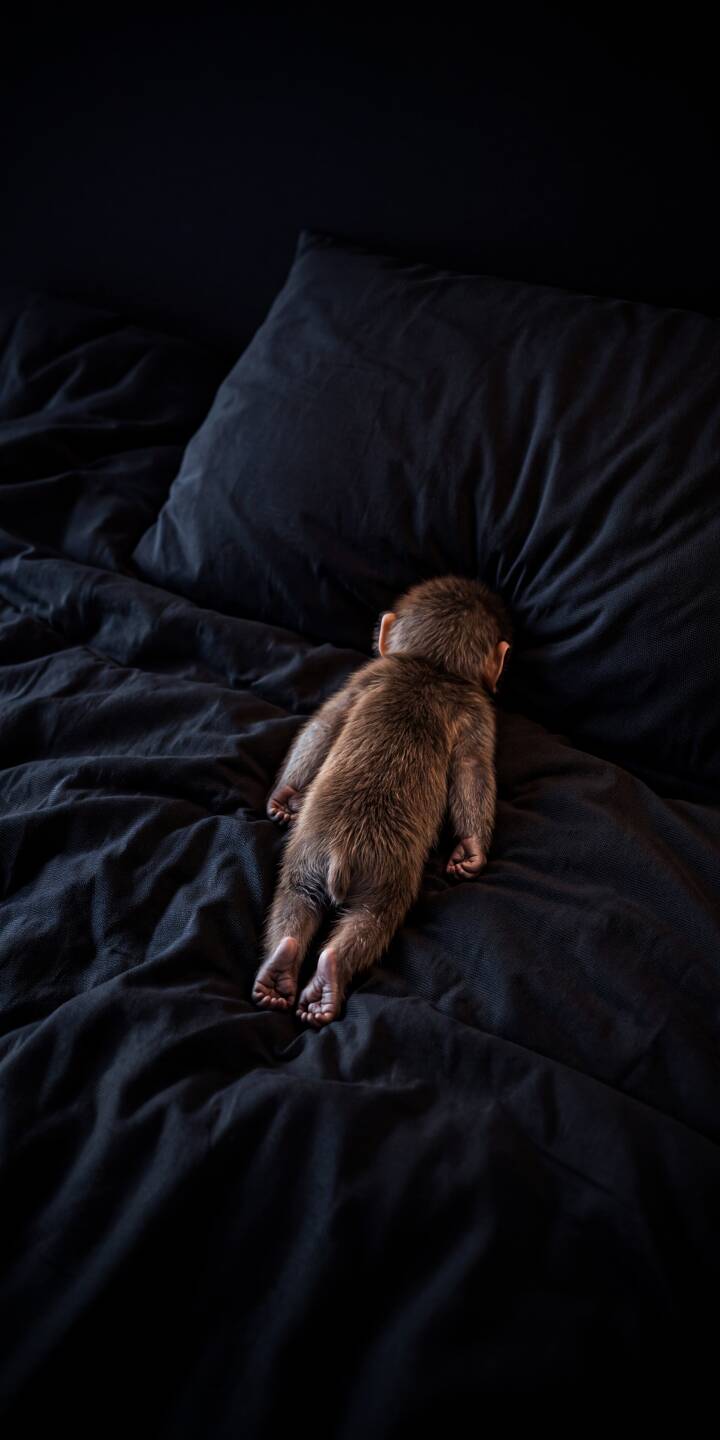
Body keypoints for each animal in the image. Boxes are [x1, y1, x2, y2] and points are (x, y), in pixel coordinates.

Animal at [252, 575, 512, 1027]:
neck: (434, 667)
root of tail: (340, 853)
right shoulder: (476, 710)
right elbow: (473, 767)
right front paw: (471, 851)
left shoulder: (365, 680)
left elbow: (326, 722)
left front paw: (285, 797)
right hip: (385, 879)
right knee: (372, 921)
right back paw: (327, 976)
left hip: (308, 863)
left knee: (300, 906)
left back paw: (288, 976)